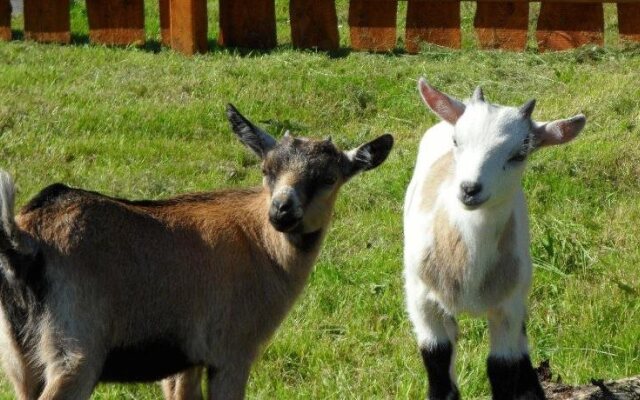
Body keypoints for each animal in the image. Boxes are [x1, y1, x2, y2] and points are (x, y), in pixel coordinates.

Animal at [0, 105, 396, 400]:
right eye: (266, 169)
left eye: (329, 178)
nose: (282, 211)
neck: (261, 244)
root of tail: (24, 241)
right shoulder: (233, 352)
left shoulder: (184, 359)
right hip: (75, 350)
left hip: (21, 359)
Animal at [404, 79, 584, 400]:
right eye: (456, 141)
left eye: (519, 154)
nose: (469, 189)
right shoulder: (421, 297)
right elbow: (436, 357)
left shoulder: (507, 305)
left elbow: (501, 367)